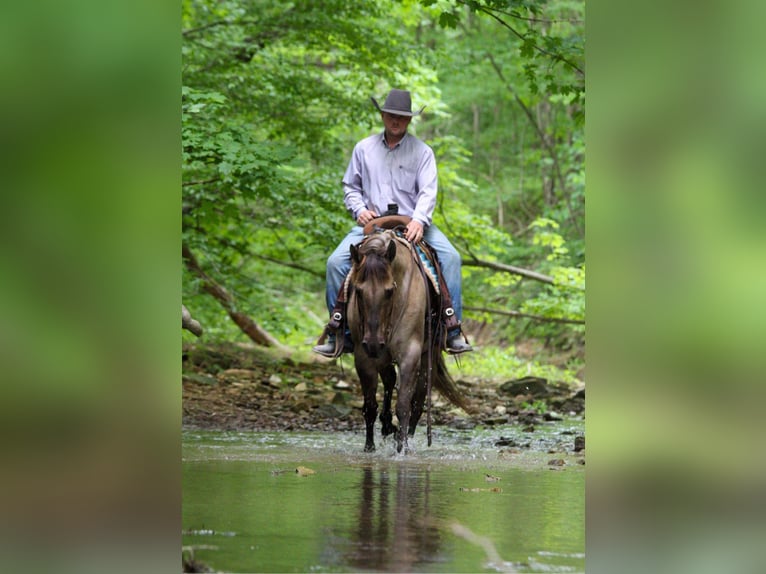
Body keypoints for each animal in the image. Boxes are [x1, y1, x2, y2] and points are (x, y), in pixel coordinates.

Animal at [346, 230, 468, 454]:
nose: (374, 343)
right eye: (358, 290)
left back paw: (406, 436)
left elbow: (403, 405)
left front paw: (402, 448)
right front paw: (369, 446)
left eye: (389, 291)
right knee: (389, 381)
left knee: (417, 402)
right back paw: (387, 426)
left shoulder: (410, 354)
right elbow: (370, 405)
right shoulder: (363, 357)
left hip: (427, 357)